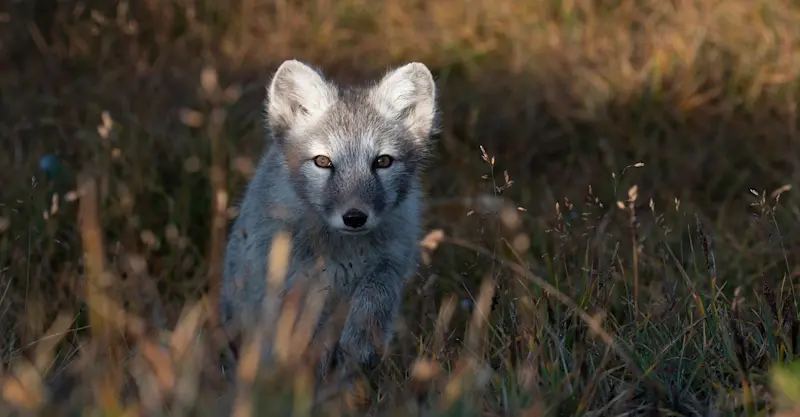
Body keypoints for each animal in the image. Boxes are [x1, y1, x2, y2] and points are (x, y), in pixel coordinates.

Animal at [220, 59, 439, 381]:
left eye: (382, 161)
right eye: (323, 162)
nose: (355, 217)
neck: (344, 252)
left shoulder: (393, 261)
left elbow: (375, 295)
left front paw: (361, 341)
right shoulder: (302, 281)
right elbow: (312, 333)